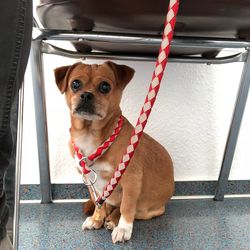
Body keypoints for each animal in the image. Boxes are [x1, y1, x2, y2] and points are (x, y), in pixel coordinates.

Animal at [53, 61, 174, 243]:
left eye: (105, 86)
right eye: (75, 84)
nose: (86, 95)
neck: (90, 135)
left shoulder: (131, 179)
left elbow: (127, 206)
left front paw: (123, 228)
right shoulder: (89, 181)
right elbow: (98, 202)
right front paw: (96, 219)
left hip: (146, 206)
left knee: (129, 208)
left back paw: (113, 219)